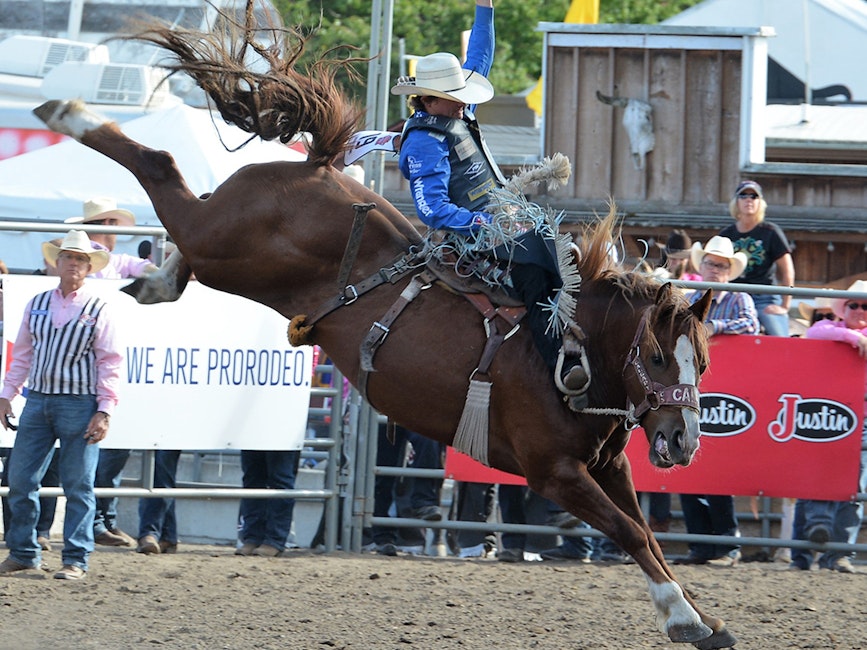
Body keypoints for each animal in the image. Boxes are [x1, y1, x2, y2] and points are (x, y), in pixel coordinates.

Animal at [30, 13, 732, 648]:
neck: (566, 342)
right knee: (161, 166)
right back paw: (65, 111)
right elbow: (631, 532)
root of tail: (315, 165)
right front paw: (686, 619)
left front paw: (702, 618)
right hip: (225, 240)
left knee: (181, 234)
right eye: (657, 357)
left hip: (223, 252)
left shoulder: (608, 466)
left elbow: (648, 535)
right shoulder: (554, 472)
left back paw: (153, 278)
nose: (683, 440)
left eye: (702, 362)